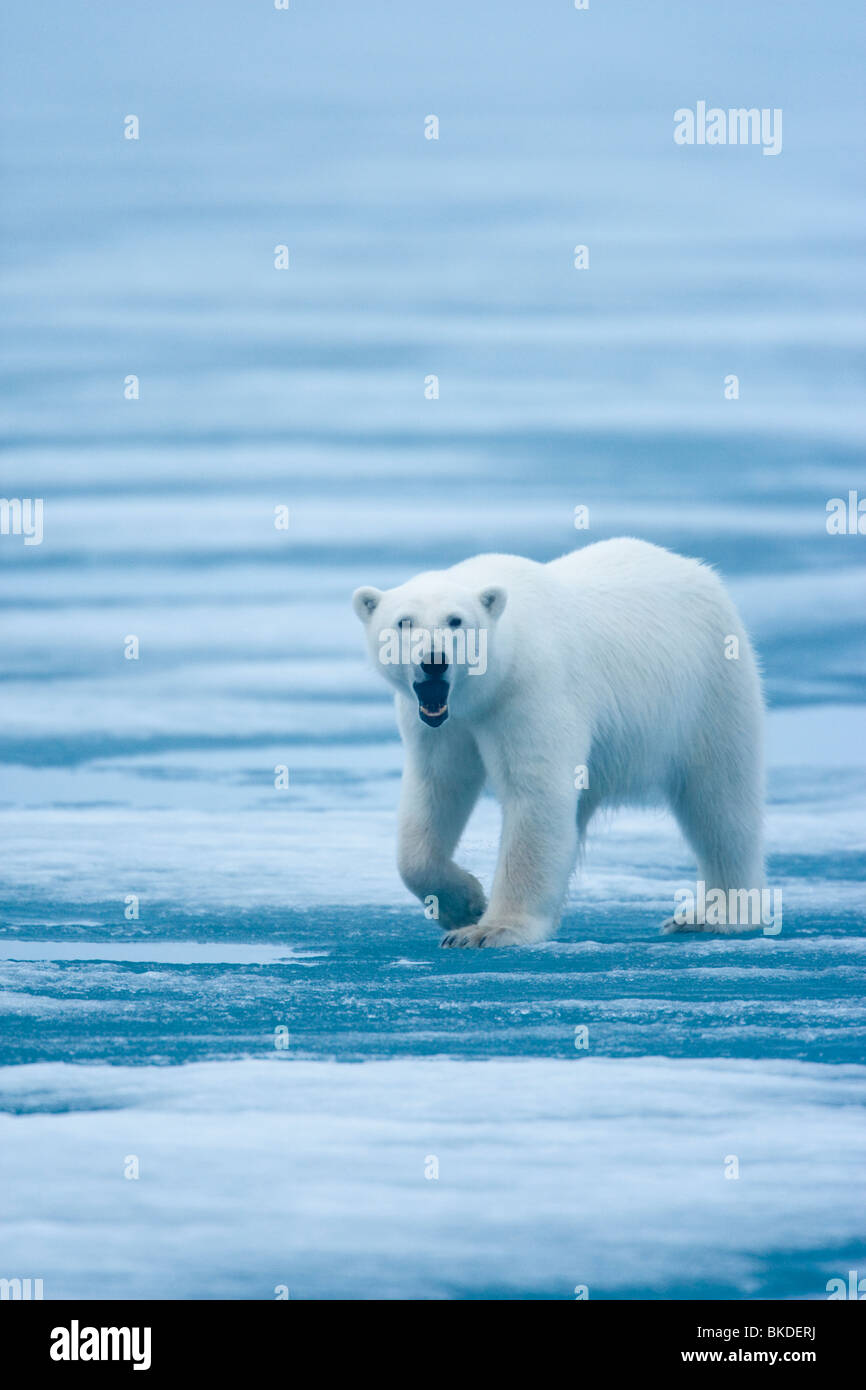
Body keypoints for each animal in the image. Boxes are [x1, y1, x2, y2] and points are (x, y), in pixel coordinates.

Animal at [353, 539, 767, 945]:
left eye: (456, 621)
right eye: (404, 622)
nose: (434, 660)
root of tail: (699, 571)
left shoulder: (531, 691)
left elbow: (536, 794)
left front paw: (492, 928)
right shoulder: (439, 725)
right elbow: (436, 792)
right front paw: (463, 905)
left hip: (710, 689)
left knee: (720, 801)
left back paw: (717, 914)